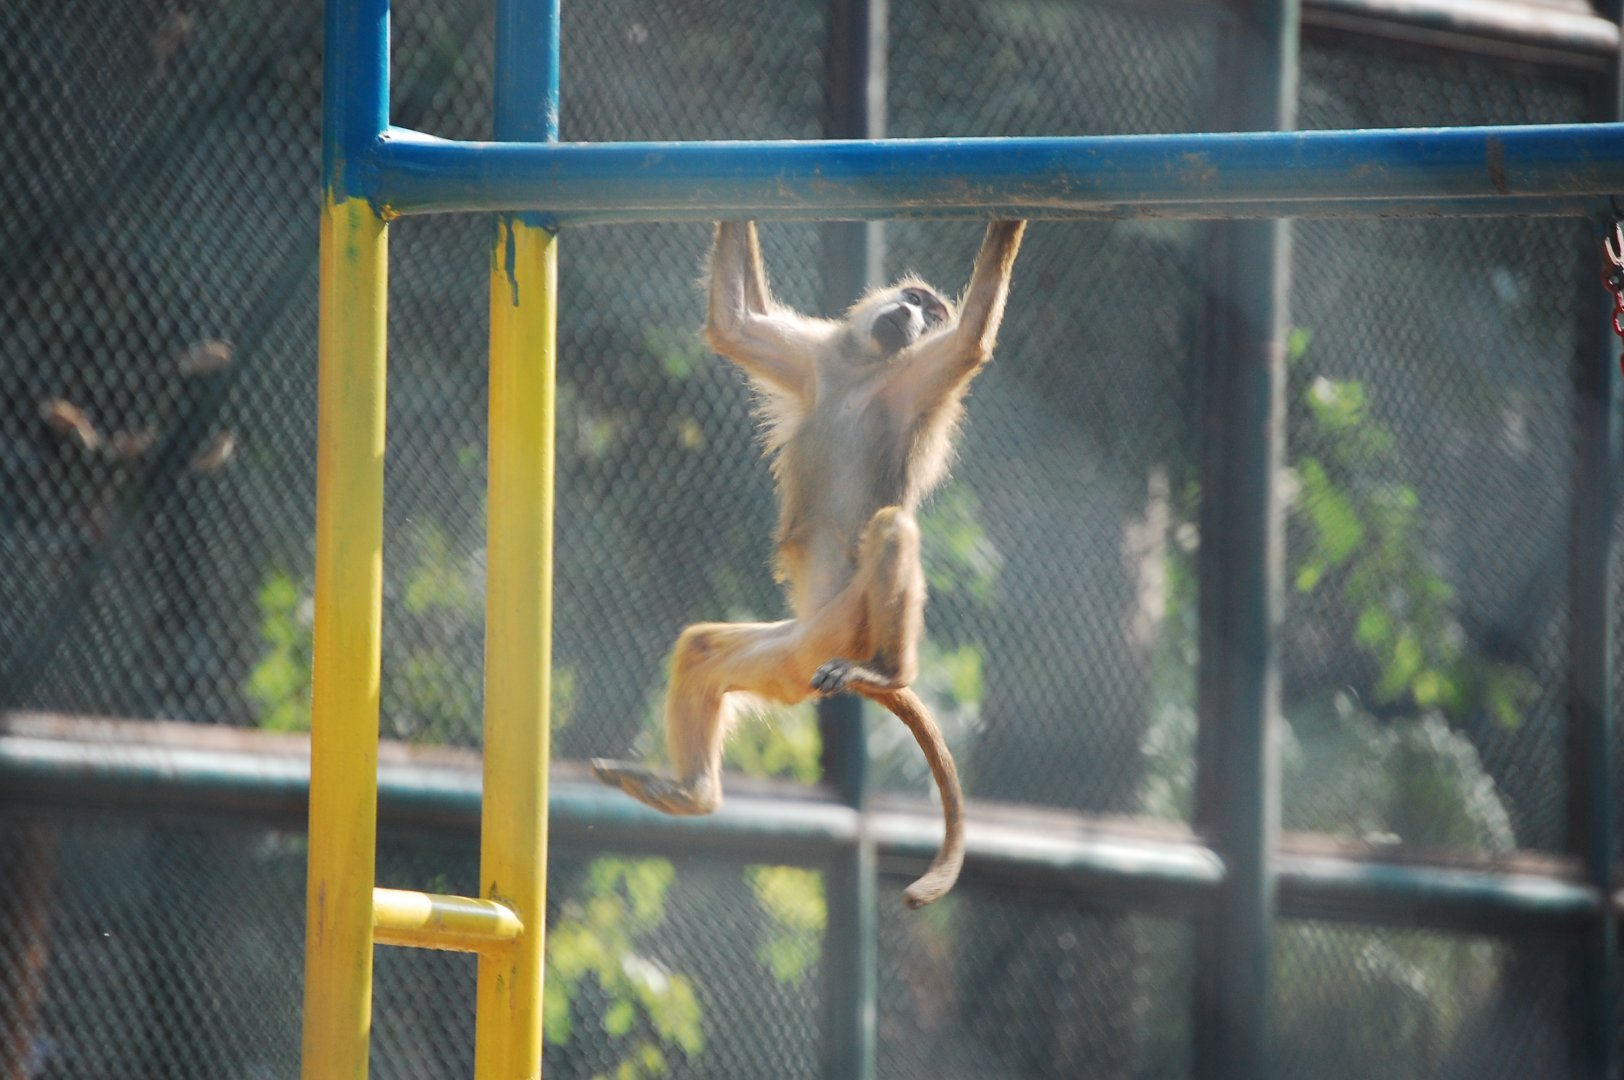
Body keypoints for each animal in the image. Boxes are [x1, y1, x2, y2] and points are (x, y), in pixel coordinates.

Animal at [594, 218, 1026, 908]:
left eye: (932, 315)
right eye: (913, 300)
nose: (911, 314)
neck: (864, 375)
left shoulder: (918, 376)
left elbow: (972, 339)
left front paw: (1007, 218)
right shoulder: (819, 360)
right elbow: (734, 324)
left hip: (847, 626)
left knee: (891, 527)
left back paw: (891, 674)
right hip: (791, 654)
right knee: (703, 649)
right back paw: (692, 793)